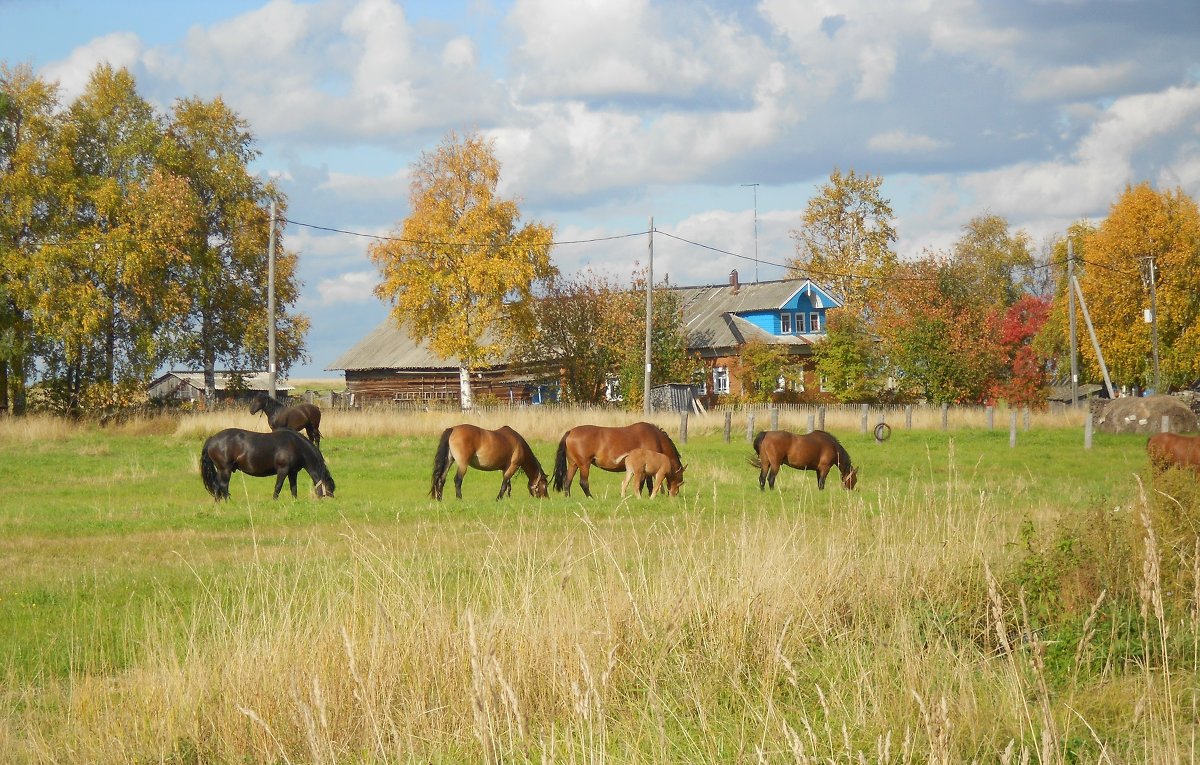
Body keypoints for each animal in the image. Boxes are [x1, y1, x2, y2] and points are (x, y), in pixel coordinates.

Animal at [199, 426, 336, 503]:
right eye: (329, 488)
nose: (330, 500)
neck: (296, 445)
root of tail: (212, 439)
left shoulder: (292, 472)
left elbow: (293, 488)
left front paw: (294, 501)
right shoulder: (283, 470)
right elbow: (278, 486)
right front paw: (274, 501)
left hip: (221, 470)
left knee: (216, 485)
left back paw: (218, 503)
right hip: (224, 469)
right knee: (223, 486)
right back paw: (228, 502)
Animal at [549, 422, 686, 501]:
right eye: (679, 481)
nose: (675, 494)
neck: (655, 437)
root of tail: (570, 432)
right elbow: (647, 484)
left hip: (574, 464)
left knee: (567, 481)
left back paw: (568, 498)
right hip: (584, 464)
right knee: (583, 482)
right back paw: (591, 498)